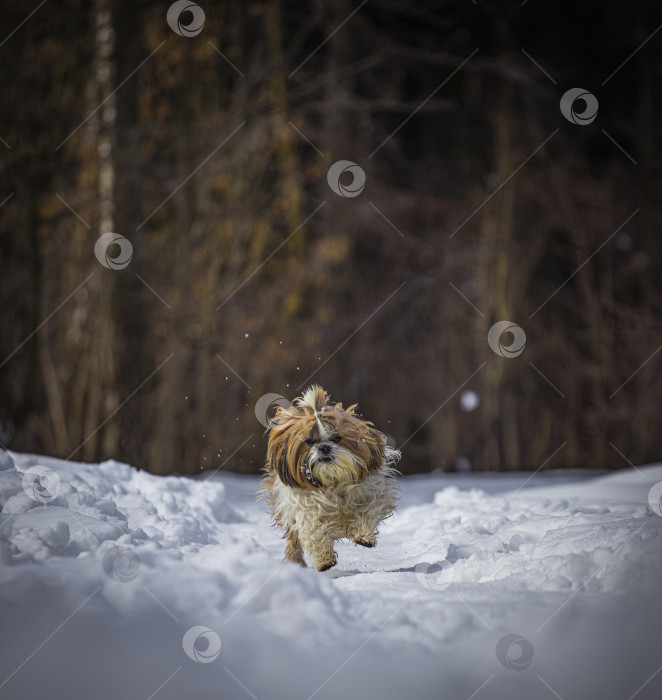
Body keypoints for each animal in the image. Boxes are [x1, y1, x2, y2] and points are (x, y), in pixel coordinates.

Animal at [260, 386, 400, 572]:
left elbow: (368, 511)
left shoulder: (371, 492)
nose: (324, 447)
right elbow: (314, 531)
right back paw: (295, 563)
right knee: (294, 541)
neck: (332, 481)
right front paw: (324, 559)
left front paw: (364, 535)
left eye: (337, 438)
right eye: (309, 441)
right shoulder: (305, 509)